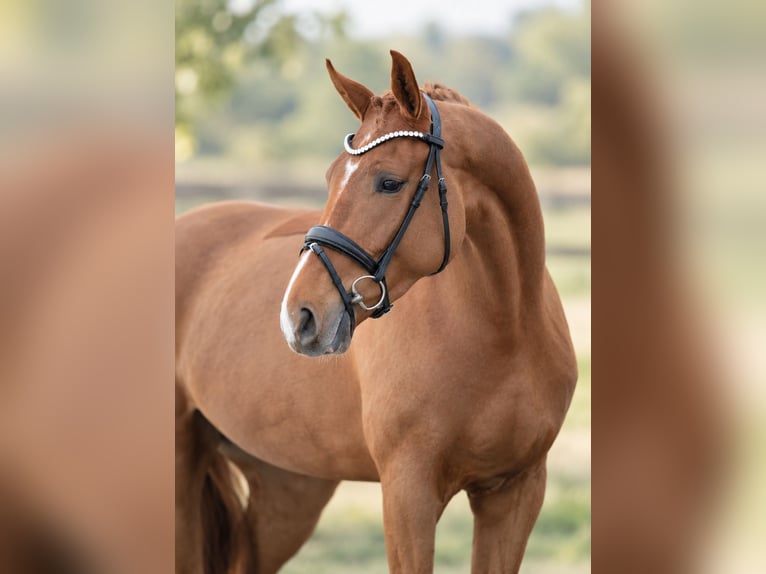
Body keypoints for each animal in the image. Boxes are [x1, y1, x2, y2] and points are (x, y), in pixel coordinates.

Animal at [175, 50, 577, 574]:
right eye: (330, 178)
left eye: (389, 182)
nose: (299, 316)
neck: (504, 332)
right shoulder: (407, 496)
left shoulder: (516, 492)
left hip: (289, 488)